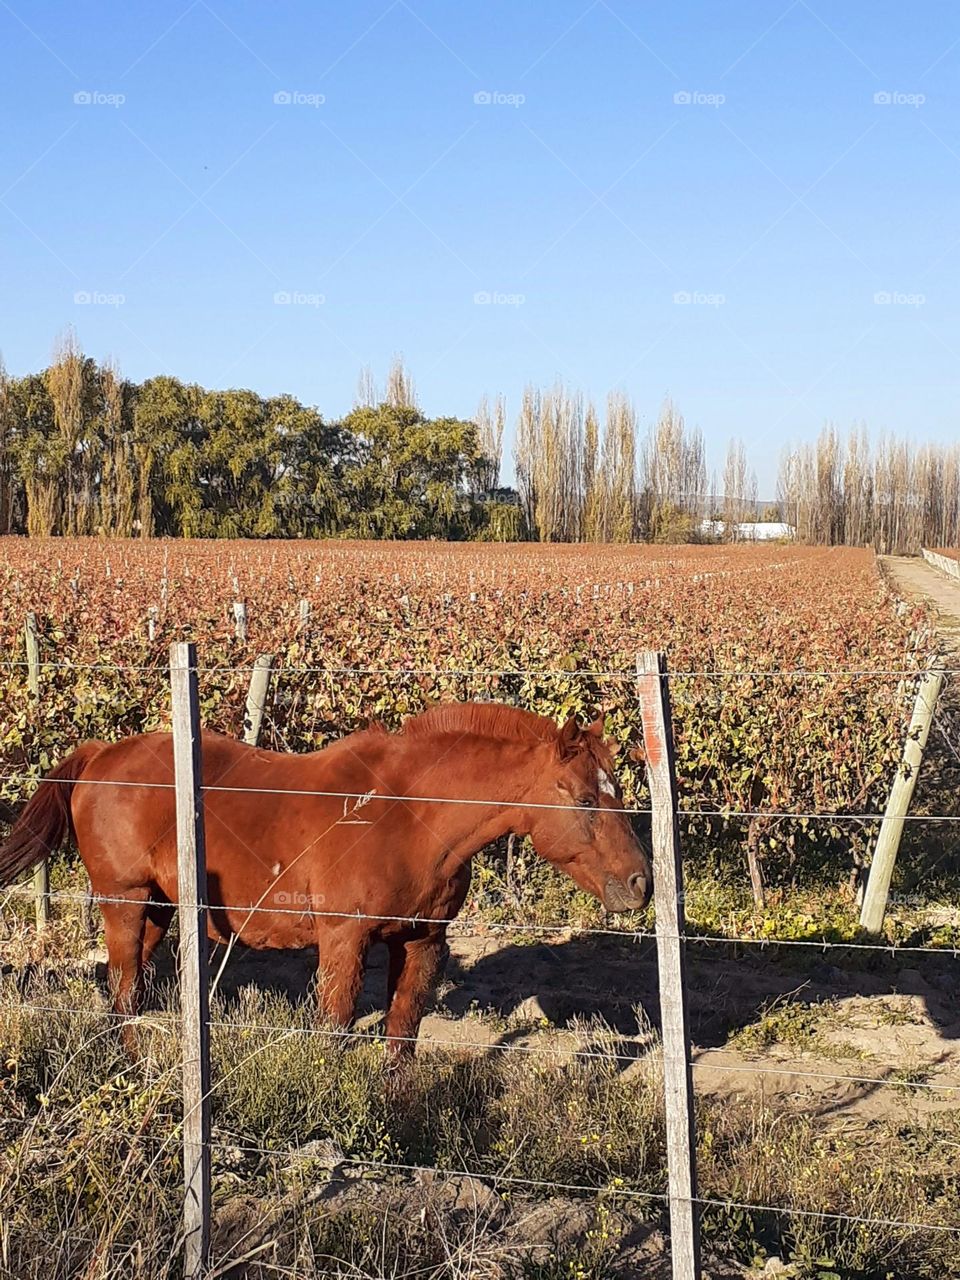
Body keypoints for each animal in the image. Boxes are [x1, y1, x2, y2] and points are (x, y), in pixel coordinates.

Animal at [0, 702, 652, 1056]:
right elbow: (335, 1032)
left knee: (127, 995)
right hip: (125, 903)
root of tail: (100, 754)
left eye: (618, 790)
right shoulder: (343, 940)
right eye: (585, 798)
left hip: (159, 910)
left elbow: (401, 1038)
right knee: (124, 992)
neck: (410, 813)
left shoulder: (422, 942)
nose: (641, 883)